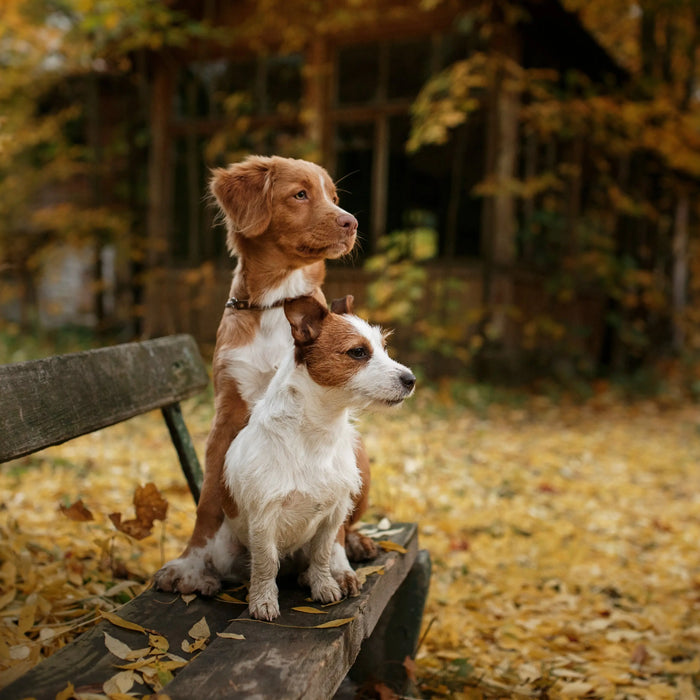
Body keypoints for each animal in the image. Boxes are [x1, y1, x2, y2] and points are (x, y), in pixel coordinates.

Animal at [154, 156, 378, 592]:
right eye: (300, 194)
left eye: (334, 196)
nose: (352, 222)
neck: (279, 301)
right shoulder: (226, 414)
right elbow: (208, 500)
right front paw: (191, 563)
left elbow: (333, 517)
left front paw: (335, 566)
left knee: (348, 517)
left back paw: (356, 543)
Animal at [202, 294, 412, 616]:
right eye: (358, 352)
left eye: (384, 348)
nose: (411, 379)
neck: (316, 434)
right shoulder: (263, 518)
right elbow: (265, 563)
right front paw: (263, 600)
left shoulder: (334, 514)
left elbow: (323, 553)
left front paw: (323, 584)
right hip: (226, 552)